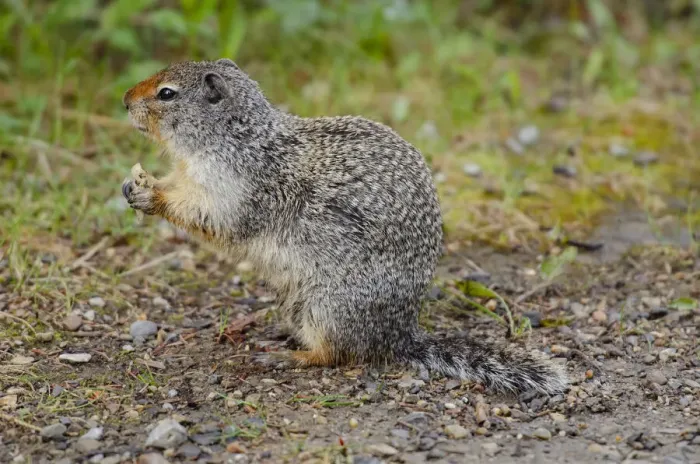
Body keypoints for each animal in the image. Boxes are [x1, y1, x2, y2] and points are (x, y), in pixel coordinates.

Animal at [121, 59, 567, 395]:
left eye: (167, 93)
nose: (124, 100)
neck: (233, 138)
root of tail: (399, 333)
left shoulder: (239, 187)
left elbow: (212, 218)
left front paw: (153, 197)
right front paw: (137, 185)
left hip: (330, 305)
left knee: (337, 354)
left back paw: (289, 356)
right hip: (298, 302)